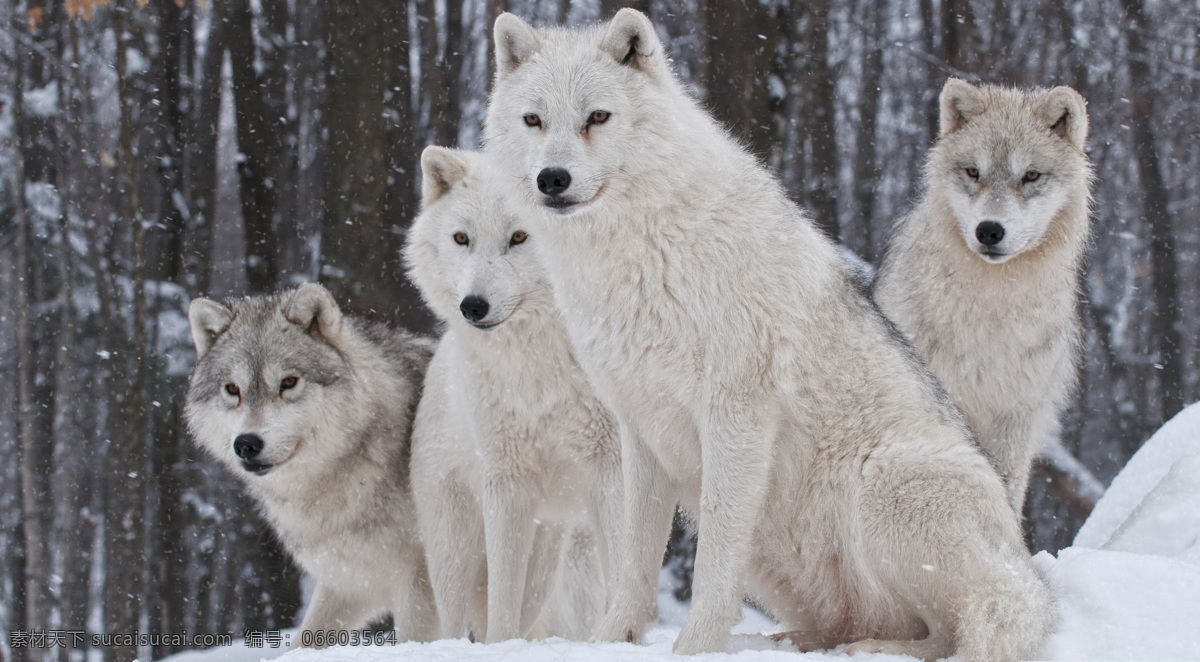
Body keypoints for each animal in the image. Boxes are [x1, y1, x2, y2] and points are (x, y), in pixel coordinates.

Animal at [182, 285, 436, 647]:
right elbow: (303, 641)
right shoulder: (349, 582)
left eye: (288, 382)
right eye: (232, 389)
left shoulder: (421, 581)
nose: (247, 444)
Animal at [408, 145, 624, 642]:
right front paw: (499, 648)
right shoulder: (505, 485)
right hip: (455, 546)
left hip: (548, 557)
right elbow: (502, 602)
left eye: (521, 236)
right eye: (461, 238)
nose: (473, 307)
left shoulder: (611, 471)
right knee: (454, 621)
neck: (541, 366)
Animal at [482, 11, 1056, 662]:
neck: (641, 254)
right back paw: (793, 641)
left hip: (886, 484)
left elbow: (712, 564)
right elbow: (634, 561)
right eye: (534, 120)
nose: (551, 178)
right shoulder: (640, 428)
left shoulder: (736, 417)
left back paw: (868, 649)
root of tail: (1027, 575)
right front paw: (612, 641)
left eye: (597, 117)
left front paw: (694, 648)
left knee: (948, 631)